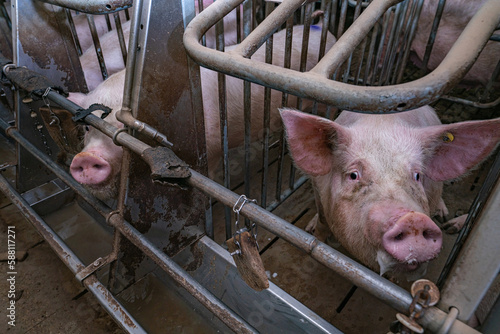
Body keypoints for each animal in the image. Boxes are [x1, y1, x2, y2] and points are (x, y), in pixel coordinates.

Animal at [282, 107, 500, 280]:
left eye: (417, 175)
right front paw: (313, 236)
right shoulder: (318, 189)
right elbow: (321, 223)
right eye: (353, 175)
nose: (412, 220)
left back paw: (446, 220)